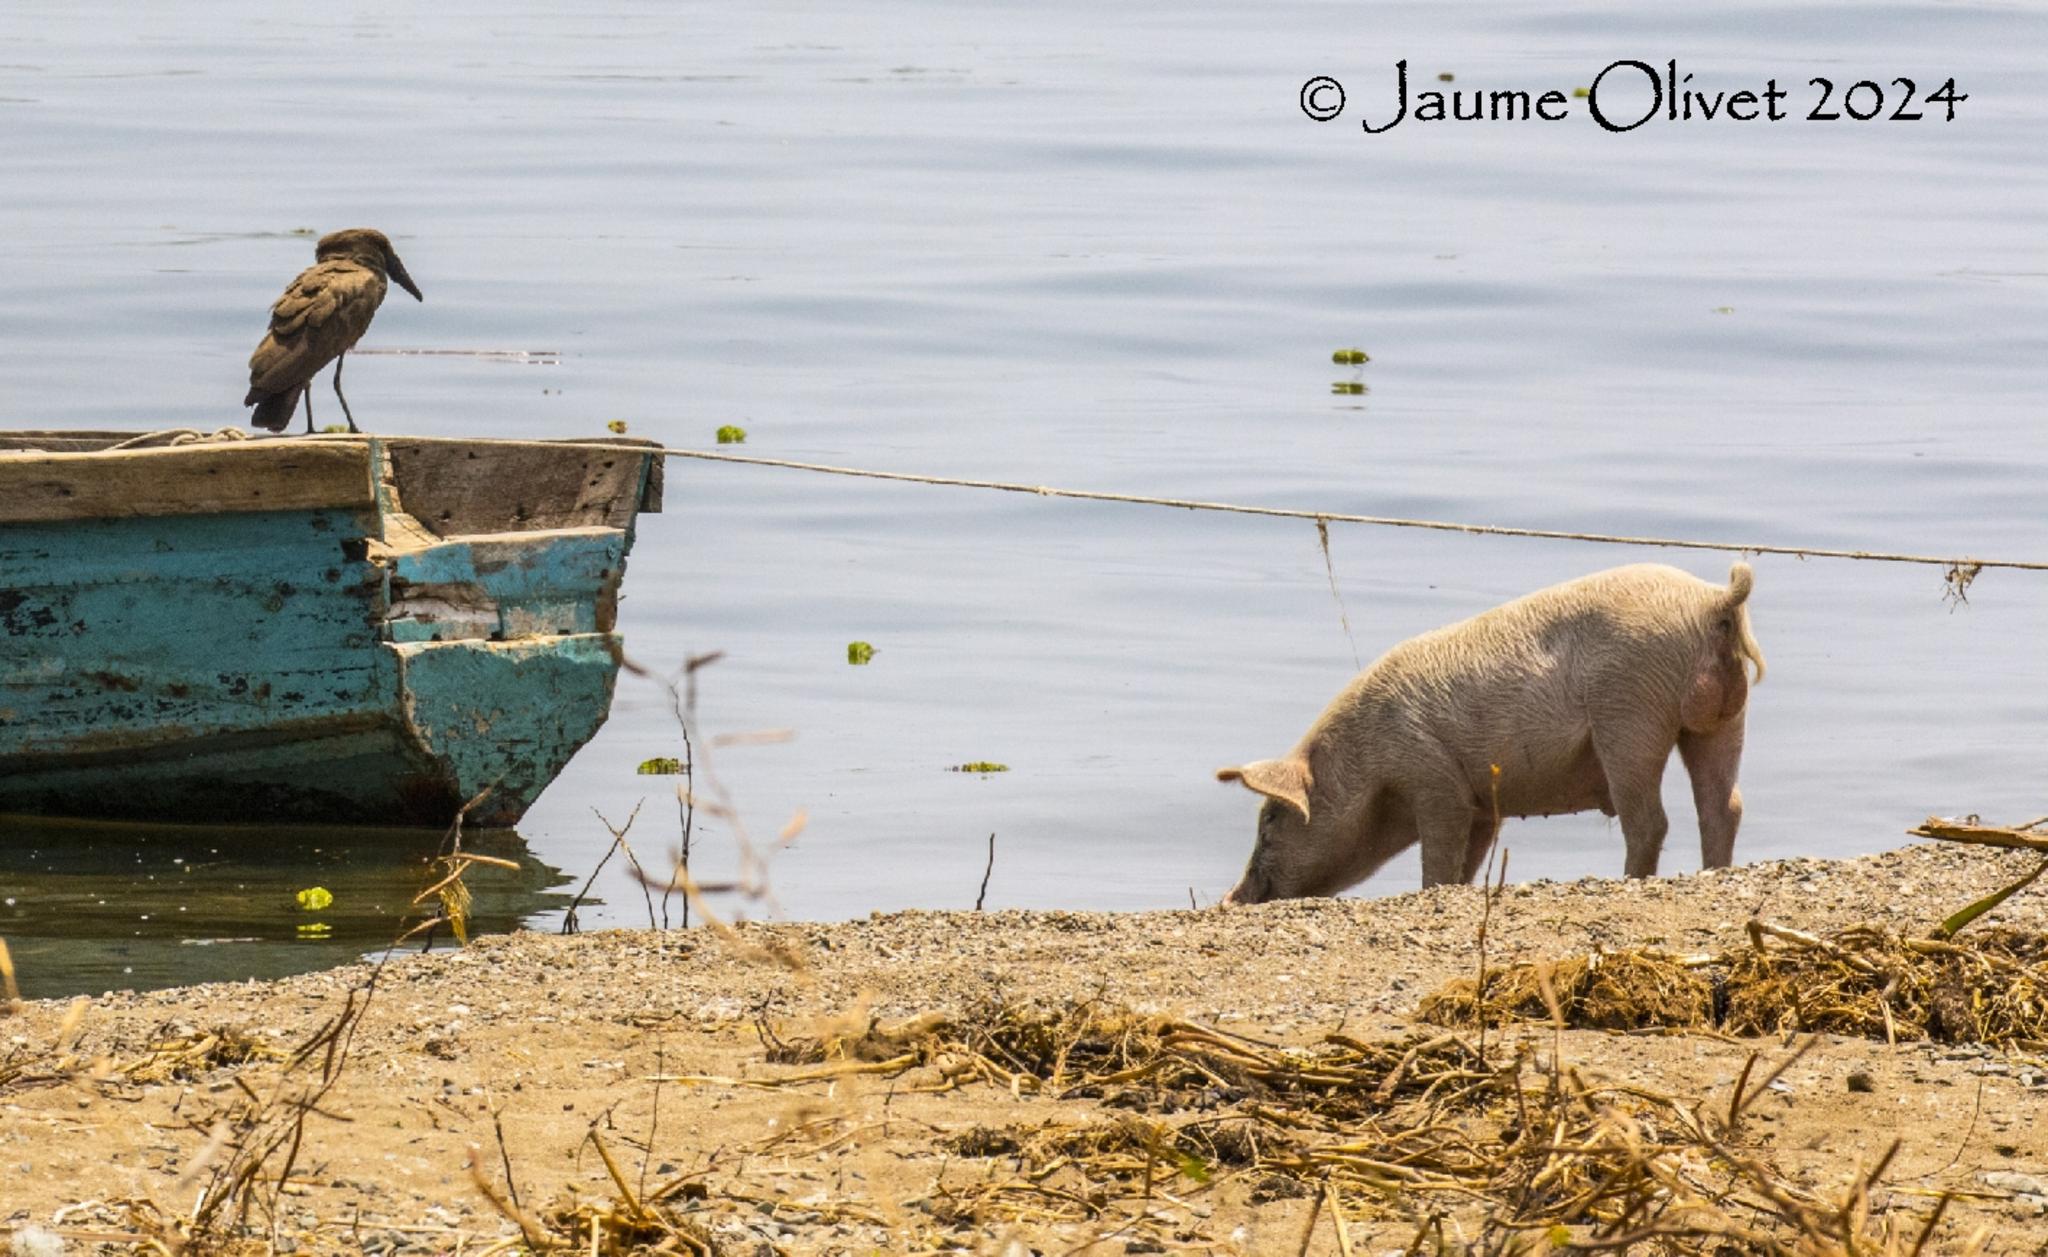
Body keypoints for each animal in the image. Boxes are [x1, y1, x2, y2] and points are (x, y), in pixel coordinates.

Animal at [1212, 565, 1761, 904]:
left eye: (1270, 820)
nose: (1229, 898)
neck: (1366, 767)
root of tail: (1713, 600)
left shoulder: (1432, 779)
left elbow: (1439, 854)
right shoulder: (1479, 805)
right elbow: (1467, 863)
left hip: (1629, 717)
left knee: (1650, 820)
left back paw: (1630, 878)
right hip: (1723, 717)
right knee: (1724, 806)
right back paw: (1714, 871)